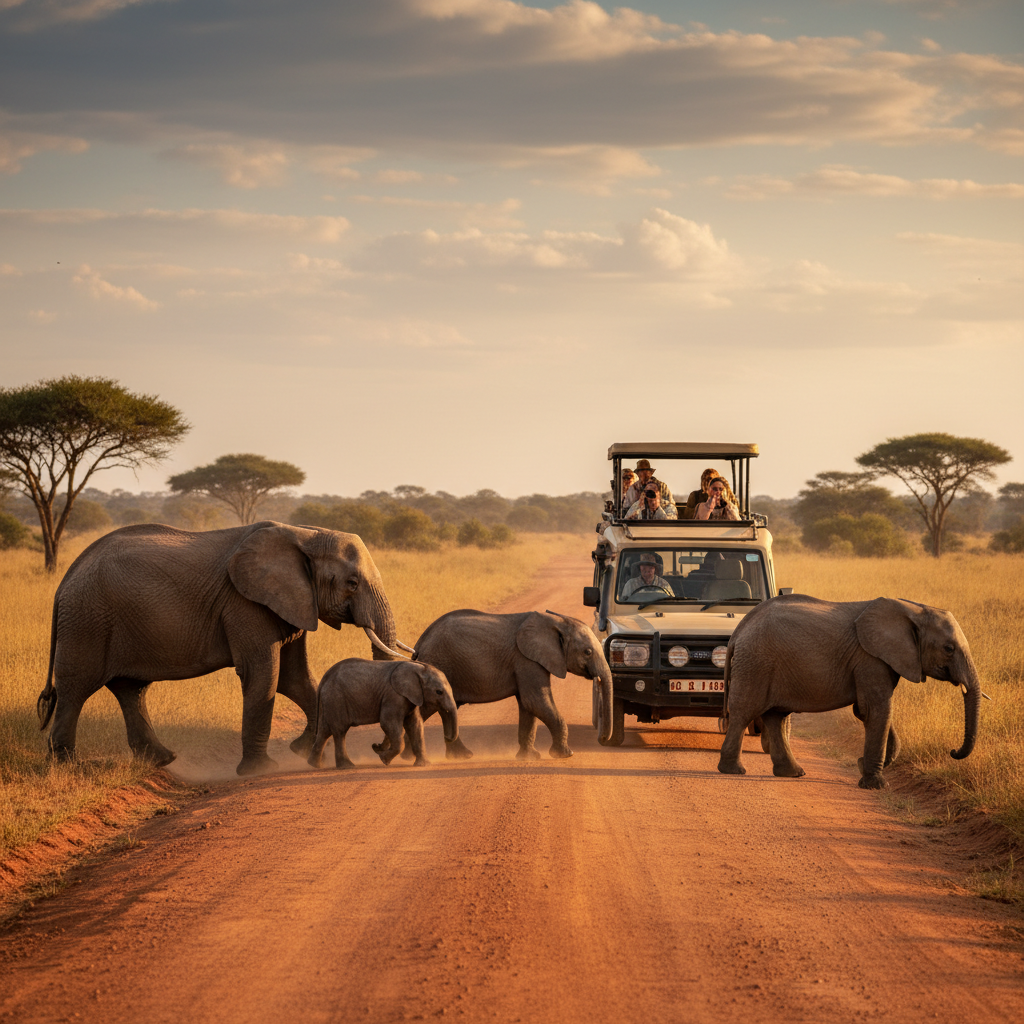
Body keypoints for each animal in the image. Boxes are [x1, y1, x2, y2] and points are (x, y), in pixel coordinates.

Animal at [36, 521, 410, 776]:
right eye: (352, 583)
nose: (378, 748)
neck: (304, 534)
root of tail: (65, 578)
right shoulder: (245, 604)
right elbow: (265, 674)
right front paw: (263, 770)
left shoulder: (293, 601)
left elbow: (295, 678)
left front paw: (301, 751)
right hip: (86, 620)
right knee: (76, 690)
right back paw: (66, 767)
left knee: (131, 690)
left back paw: (162, 760)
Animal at [307, 658, 458, 769]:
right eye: (439, 692)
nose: (375, 745)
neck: (419, 668)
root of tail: (324, 678)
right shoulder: (394, 696)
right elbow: (388, 723)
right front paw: (384, 760)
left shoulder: (411, 697)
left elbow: (415, 725)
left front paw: (423, 765)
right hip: (336, 699)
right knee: (339, 731)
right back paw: (347, 767)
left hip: (330, 701)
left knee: (324, 731)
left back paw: (315, 765)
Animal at [391, 608, 614, 760]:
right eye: (587, 652)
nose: (603, 740)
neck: (556, 621)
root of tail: (419, 646)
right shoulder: (526, 660)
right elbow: (535, 701)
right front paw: (565, 755)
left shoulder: (527, 662)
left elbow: (528, 706)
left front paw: (528, 757)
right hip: (439, 665)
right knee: (425, 708)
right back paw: (410, 757)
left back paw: (459, 756)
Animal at [717, 594, 982, 789]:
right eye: (949, 649)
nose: (953, 751)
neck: (913, 608)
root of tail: (738, 631)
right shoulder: (870, 659)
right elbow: (876, 709)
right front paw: (876, 785)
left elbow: (869, 711)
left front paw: (865, 766)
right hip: (755, 664)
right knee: (743, 713)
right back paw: (734, 771)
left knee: (775, 717)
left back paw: (793, 774)